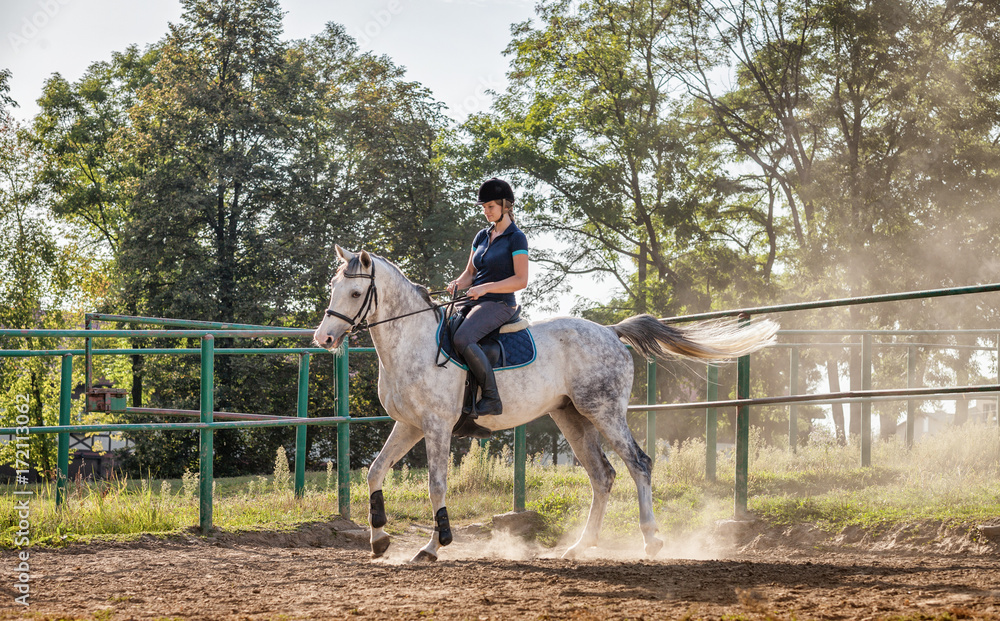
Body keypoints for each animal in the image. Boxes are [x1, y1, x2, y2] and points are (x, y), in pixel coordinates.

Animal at [314, 246, 780, 560]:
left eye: (354, 293)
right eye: (333, 287)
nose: (324, 338)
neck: (412, 343)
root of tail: (610, 331)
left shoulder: (436, 426)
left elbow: (436, 484)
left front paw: (434, 545)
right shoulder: (409, 425)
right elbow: (375, 471)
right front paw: (379, 538)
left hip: (604, 412)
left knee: (639, 464)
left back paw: (651, 539)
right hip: (572, 418)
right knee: (603, 476)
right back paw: (580, 546)